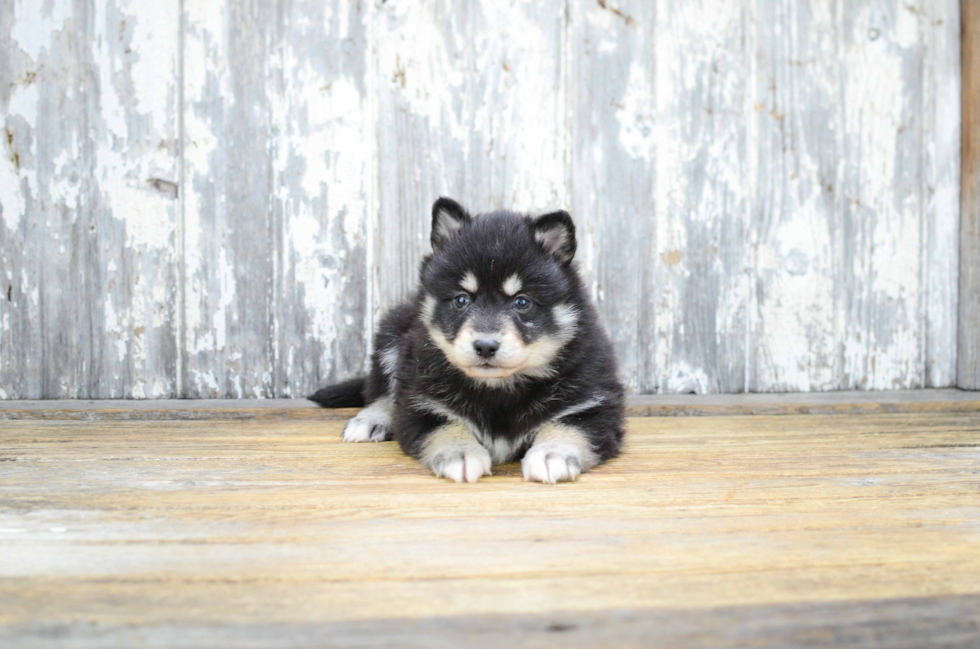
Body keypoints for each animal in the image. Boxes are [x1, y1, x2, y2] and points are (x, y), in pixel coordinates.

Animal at [310, 197, 624, 480]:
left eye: (522, 302)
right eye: (462, 299)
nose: (485, 346)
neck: (499, 390)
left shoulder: (594, 403)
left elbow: (569, 426)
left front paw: (552, 453)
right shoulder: (419, 402)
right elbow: (444, 425)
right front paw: (460, 452)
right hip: (393, 336)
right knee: (383, 392)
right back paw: (371, 420)